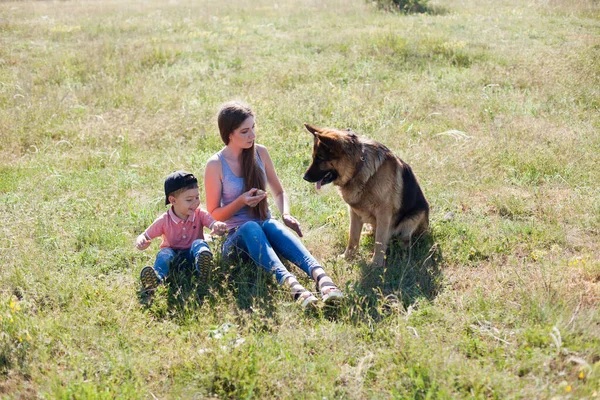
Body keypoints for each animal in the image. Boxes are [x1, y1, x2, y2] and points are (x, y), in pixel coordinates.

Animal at [302, 124, 428, 268]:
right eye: (313, 157)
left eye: (320, 159)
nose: (304, 177)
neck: (358, 169)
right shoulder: (354, 212)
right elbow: (353, 237)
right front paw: (348, 257)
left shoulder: (383, 214)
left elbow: (379, 241)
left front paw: (376, 264)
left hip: (414, 216)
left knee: (404, 240)